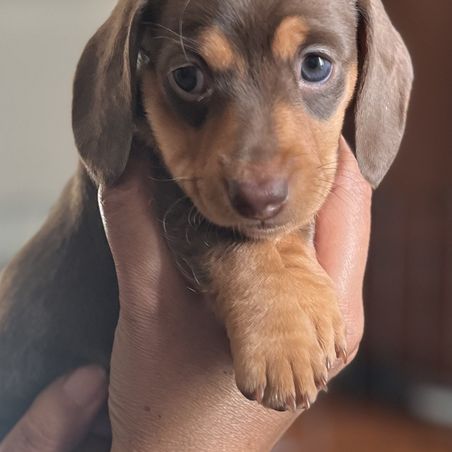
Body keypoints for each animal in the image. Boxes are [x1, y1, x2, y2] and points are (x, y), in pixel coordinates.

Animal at [0, 0, 413, 436]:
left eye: (316, 65)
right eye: (187, 77)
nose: (259, 198)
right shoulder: (166, 183)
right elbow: (226, 239)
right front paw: (283, 331)